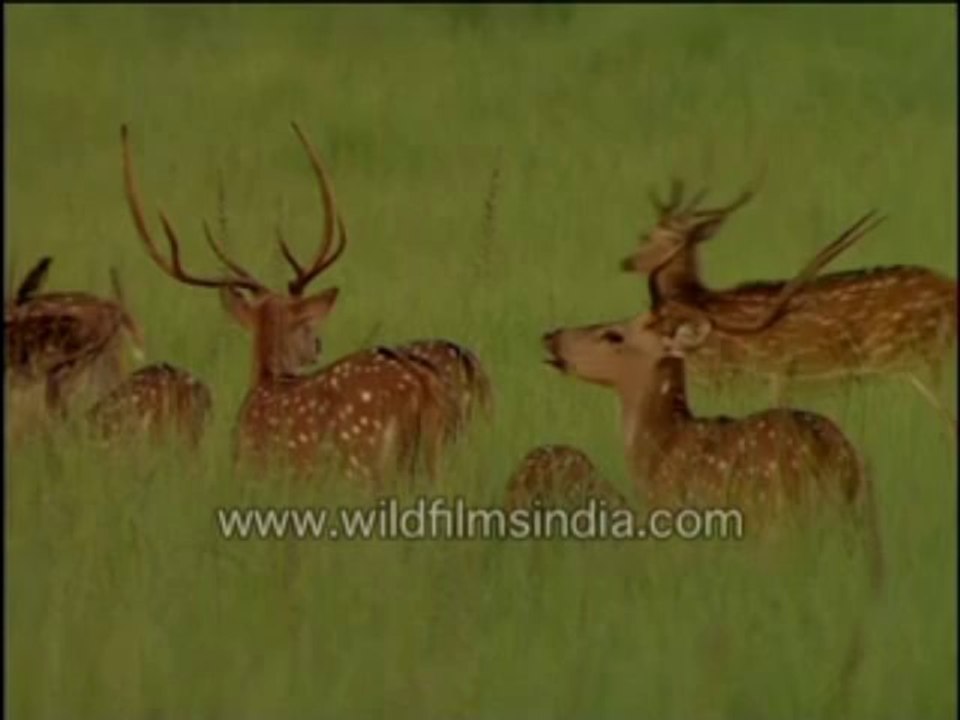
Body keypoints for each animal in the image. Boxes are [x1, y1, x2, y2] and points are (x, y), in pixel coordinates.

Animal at [121, 122, 465, 484]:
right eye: (307, 326)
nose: (317, 346)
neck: (265, 380)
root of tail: (422, 385)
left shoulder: (253, 470)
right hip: (436, 463)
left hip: (363, 462)